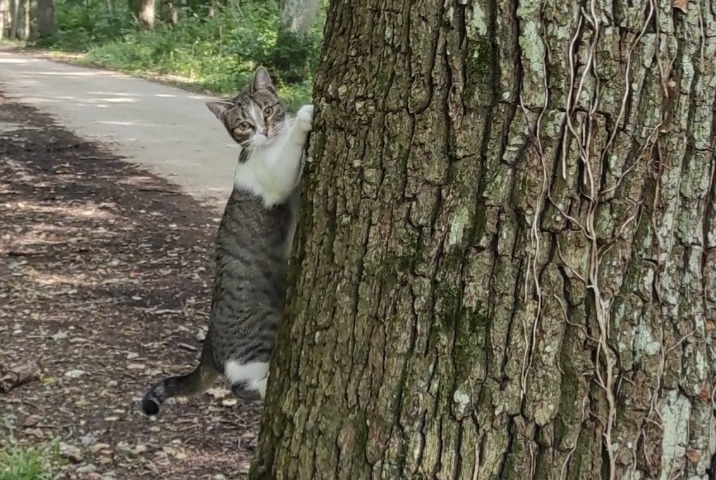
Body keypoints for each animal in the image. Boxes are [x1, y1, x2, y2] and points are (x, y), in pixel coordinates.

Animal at [141, 67, 312, 416]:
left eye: (268, 110)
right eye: (245, 125)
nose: (266, 129)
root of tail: (208, 349)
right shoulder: (275, 178)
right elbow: (289, 157)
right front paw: (305, 114)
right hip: (261, 332)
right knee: (241, 386)